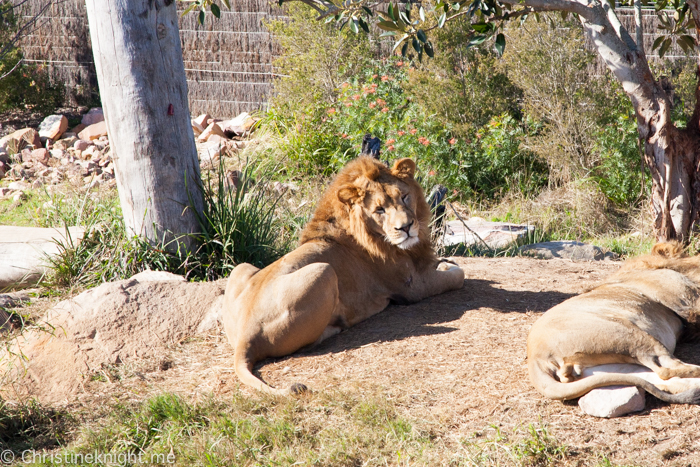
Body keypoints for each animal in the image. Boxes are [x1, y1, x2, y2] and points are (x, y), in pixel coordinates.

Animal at [221, 157, 468, 394]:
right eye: (379, 209)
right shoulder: (412, 287)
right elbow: (458, 276)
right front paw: (449, 267)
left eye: (405, 197)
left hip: (241, 267)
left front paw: (443, 262)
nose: (406, 227)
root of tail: (245, 337)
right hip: (324, 272)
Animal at [528, 243, 700, 404]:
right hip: (630, 335)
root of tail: (535, 358)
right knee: (665, 370)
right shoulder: (686, 300)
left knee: (666, 381)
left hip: (610, 368)